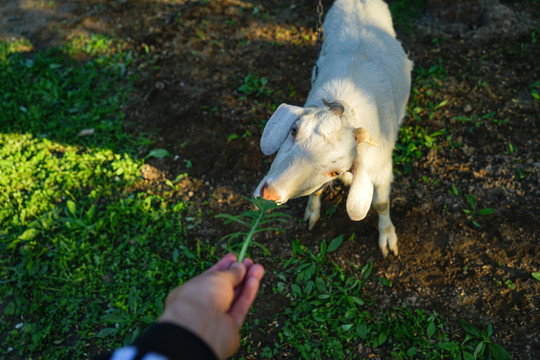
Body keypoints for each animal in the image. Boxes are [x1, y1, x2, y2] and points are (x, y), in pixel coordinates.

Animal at [253, 0, 414, 258]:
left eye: (334, 171)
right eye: (293, 130)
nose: (269, 196)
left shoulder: (382, 169)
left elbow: (381, 204)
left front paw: (388, 238)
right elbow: (317, 191)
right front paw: (312, 212)